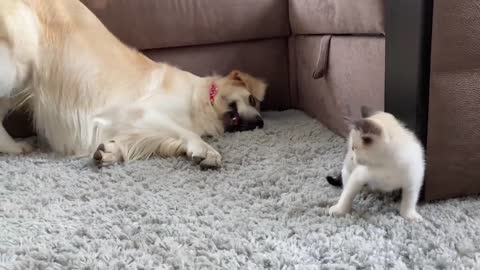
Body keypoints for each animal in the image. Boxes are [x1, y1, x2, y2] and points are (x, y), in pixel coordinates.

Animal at [0, 0, 266, 169]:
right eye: (252, 99)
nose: (260, 123)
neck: (202, 99)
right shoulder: (141, 112)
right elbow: (185, 132)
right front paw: (206, 150)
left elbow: (141, 141)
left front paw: (110, 152)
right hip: (18, 62)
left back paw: (15, 148)